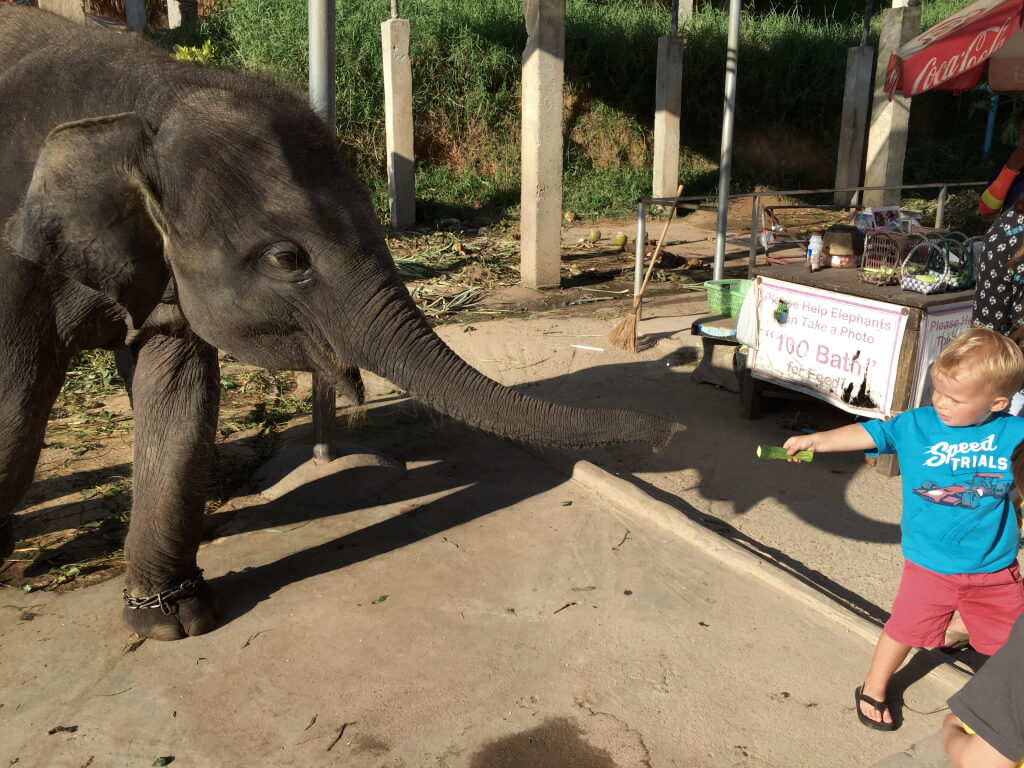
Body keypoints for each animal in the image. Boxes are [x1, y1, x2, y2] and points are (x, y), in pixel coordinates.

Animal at [0, 6, 683, 641]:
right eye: (287, 259)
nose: (668, 433)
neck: (148, 96)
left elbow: (178, 400)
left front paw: (177, 621)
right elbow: (14, 406)